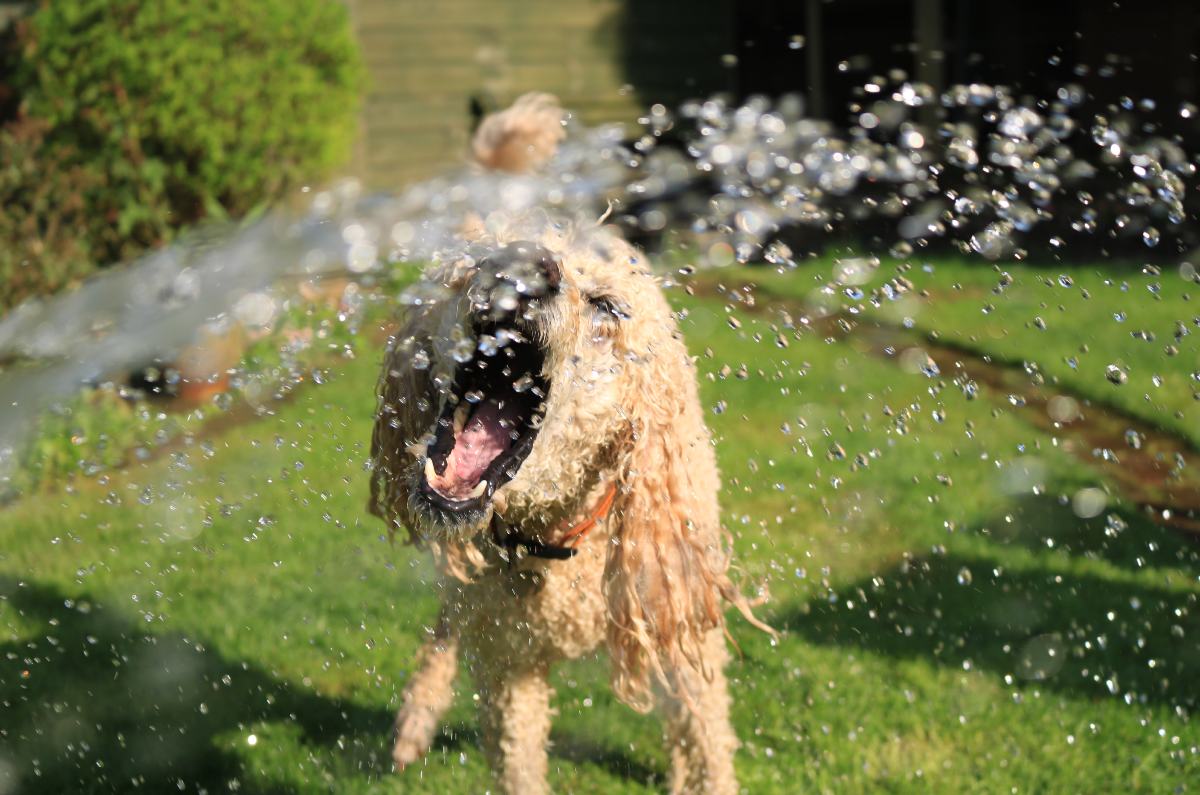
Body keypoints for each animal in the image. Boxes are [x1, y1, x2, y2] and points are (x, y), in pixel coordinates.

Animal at [364, 94, 763, 795]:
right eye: (472, 262)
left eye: (607, 307)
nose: (520, 265)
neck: (556, 535)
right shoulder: (507, 668)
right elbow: (517, 759)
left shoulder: (682, 627)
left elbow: (707, 745)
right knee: (447, 622)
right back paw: (417, 716)